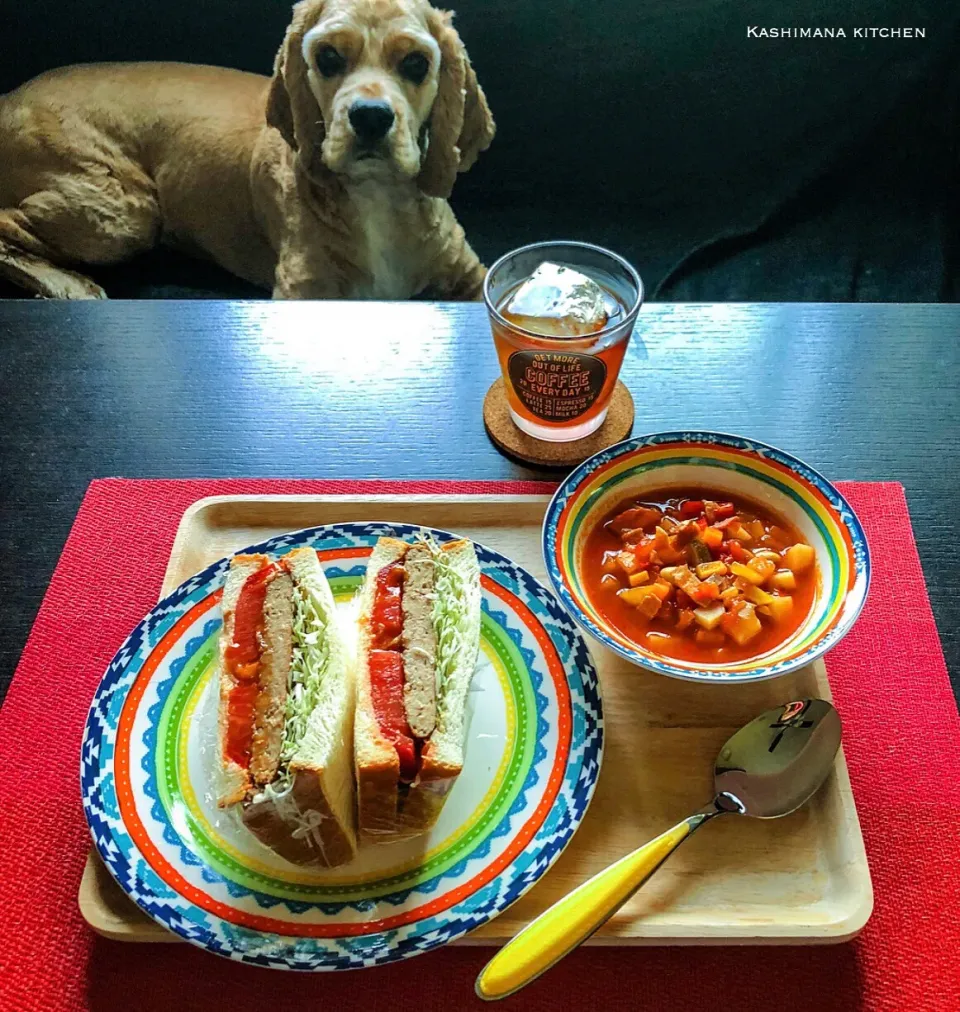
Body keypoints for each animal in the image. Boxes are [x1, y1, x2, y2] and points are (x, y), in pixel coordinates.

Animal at [0, 0, 493, 297]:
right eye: (328, 57)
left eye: (417, 63)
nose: (370, 117)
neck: (378, 197)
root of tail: (9, 97)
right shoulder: (304, 288)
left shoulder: (472, 277)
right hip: (124, 212)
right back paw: (68, 285)